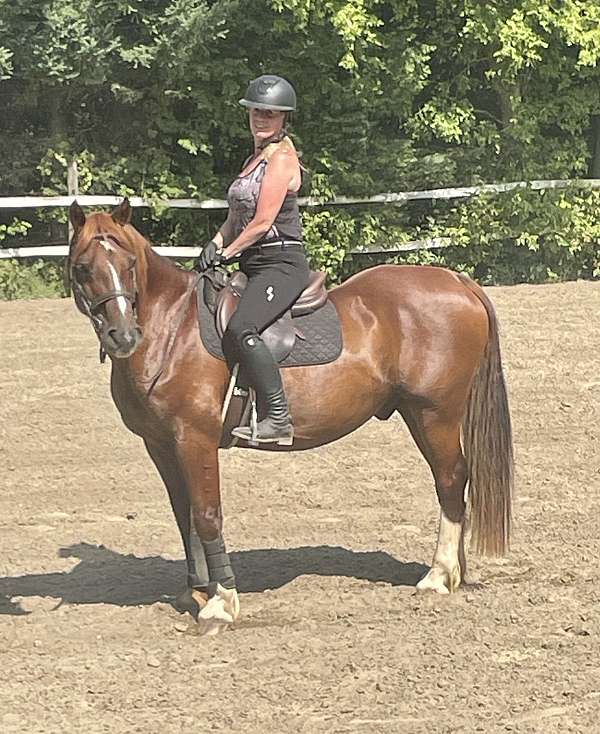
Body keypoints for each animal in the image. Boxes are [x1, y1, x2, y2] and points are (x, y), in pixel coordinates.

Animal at [68, 198, 512, 636]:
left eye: (129, 264)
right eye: (83, 267)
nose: (123, 336)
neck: (172, 331)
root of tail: (457, 281)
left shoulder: (195, 439)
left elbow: (208, 515)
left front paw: (221, 603)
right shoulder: (161, 445)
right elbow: (185, 516)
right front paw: (195, 591)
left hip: (434, 414)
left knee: (451, 480)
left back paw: (438, 575)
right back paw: (455, 571)